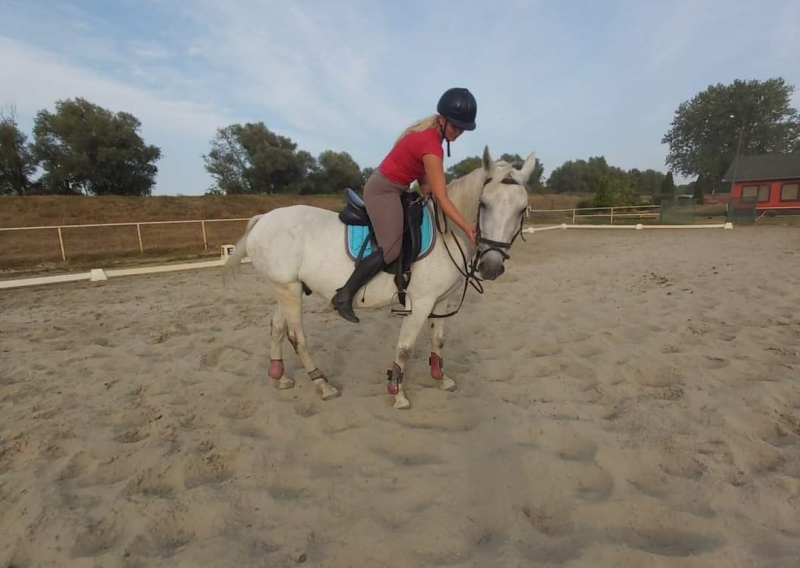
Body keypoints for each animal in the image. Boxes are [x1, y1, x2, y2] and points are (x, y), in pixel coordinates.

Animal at [225, 146, 536, 408]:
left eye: (522, 209)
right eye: (483, 203)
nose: (491, 267)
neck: (446, 232)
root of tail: (263, 218)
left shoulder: (440, 301)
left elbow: (437, 340)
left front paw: (441, 378)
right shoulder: (420, 303)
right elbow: (405, 348)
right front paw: (397, 393)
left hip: (286, 287)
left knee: (277, 329)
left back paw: (278, 376)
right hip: (288, 291)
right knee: (296, 336)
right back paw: (322, 384)